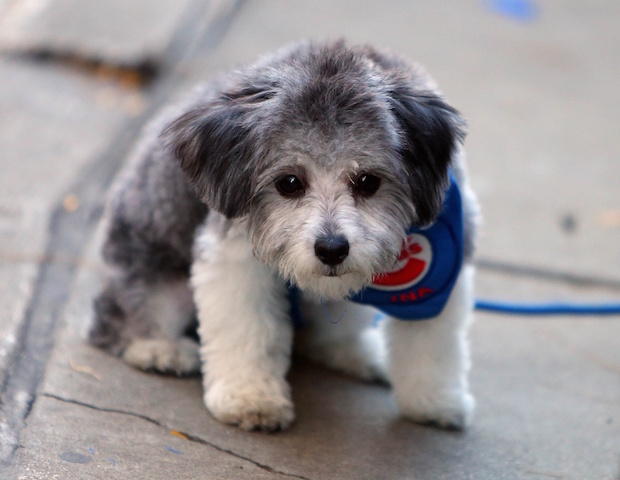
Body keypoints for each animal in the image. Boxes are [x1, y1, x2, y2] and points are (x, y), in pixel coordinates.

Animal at [91, 40, 480, 432]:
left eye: (368, 181)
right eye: (289, 182)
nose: (331, 249)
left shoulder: (444, 267)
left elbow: (432, 341)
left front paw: (434, 401)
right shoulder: (233, 257)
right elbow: (248, 329)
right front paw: (249, 397)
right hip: (154, 276)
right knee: (118, 315)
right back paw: (159, 349)